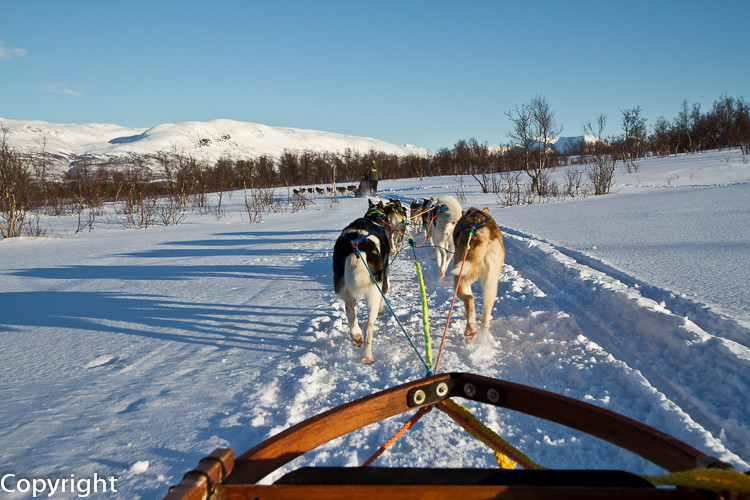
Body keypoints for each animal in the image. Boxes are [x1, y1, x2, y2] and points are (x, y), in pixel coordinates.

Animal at [334, 199, 394, 364]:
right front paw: (382, 310)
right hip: (374, 292)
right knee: (369, 326)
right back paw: (367, 356)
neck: (374, 217)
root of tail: (357, 248)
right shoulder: (384, 280)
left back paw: (356, 337)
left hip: (345, 291)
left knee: (350, 313)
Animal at [452, 207, 506, 344]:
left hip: (460, 276)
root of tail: (482, 233)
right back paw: (481, 338)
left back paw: (470, 329)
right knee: (485, 319)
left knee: (470, 298)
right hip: (491, 283)